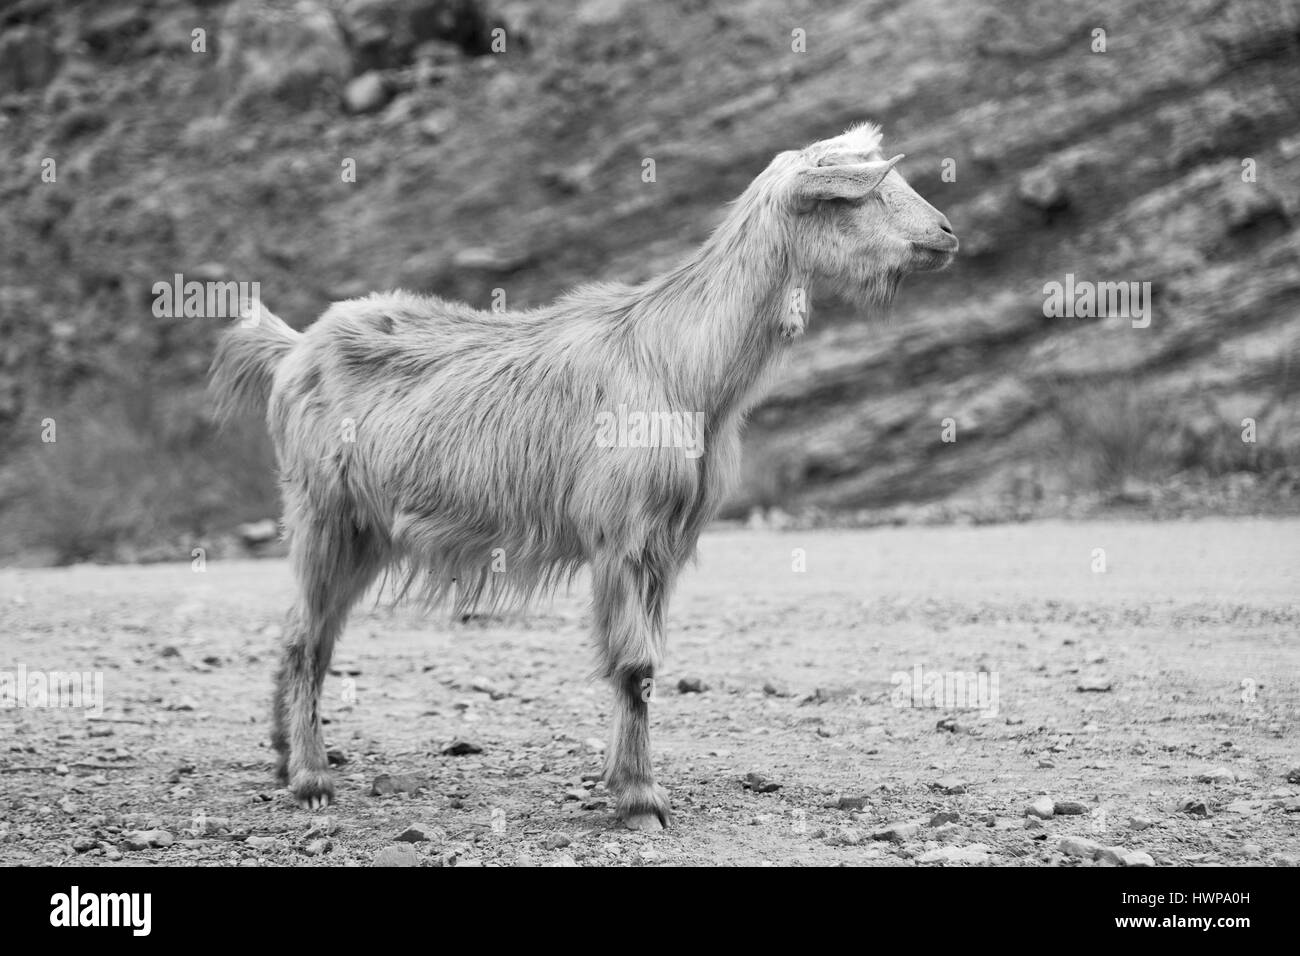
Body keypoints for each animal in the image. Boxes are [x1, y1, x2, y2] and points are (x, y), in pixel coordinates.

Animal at [210, 123, 957, 830]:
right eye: (859, 195)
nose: (947, 234)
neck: (681, 365)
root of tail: (293, 348)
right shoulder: (620, 533)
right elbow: (634, 664)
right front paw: (641, 799)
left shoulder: (666, 544)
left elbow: (646, 664)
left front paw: (621, 781)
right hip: (322, 512)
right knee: (307, 637)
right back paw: (311, 779)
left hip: (364, 530)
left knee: (305, 629)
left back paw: (284, 756)